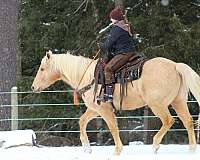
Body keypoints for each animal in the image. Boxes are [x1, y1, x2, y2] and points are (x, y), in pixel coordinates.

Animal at [31, 50, 200, 155]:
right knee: (188, 121)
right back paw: (191, 149)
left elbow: (113, 128)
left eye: (42, 69)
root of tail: (175, 66)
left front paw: (117, 150)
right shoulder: (94, 109)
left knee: (169, 121)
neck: (88, 77)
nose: (33, 87)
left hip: (157, 105)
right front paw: (87, 148)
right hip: (178, 102)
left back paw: (155, 145)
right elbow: (82, 121)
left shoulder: (104, 110)